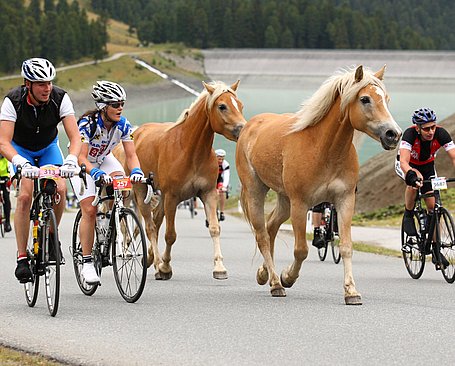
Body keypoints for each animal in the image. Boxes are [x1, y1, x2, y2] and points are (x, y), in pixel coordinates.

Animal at [116, 80, 248, 280]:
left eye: (240, 105)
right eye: (222, 106)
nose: (242, 129)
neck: (189, 150)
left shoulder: (208, 193)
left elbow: (214, 228)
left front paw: (219, 267)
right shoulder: (172, 197)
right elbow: (170, 235)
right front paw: (164, 267)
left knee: (155, 222)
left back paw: (151, 257)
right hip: (141, 192)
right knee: (150, 227)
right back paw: (156, 263)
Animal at [239, 66, 402, 306]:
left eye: (387, 99)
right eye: (365, 99)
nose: (393, 134)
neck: (324, 149)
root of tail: (250, 126)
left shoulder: (345, 201)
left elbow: (346, 247)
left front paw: (351, 291)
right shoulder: (300, 204)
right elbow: (301, 250)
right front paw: (287, 277)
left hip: (284, 200)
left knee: (271, 227)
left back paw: (265, 274)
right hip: (256, 192)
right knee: (262, 235)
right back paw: (276, 283)